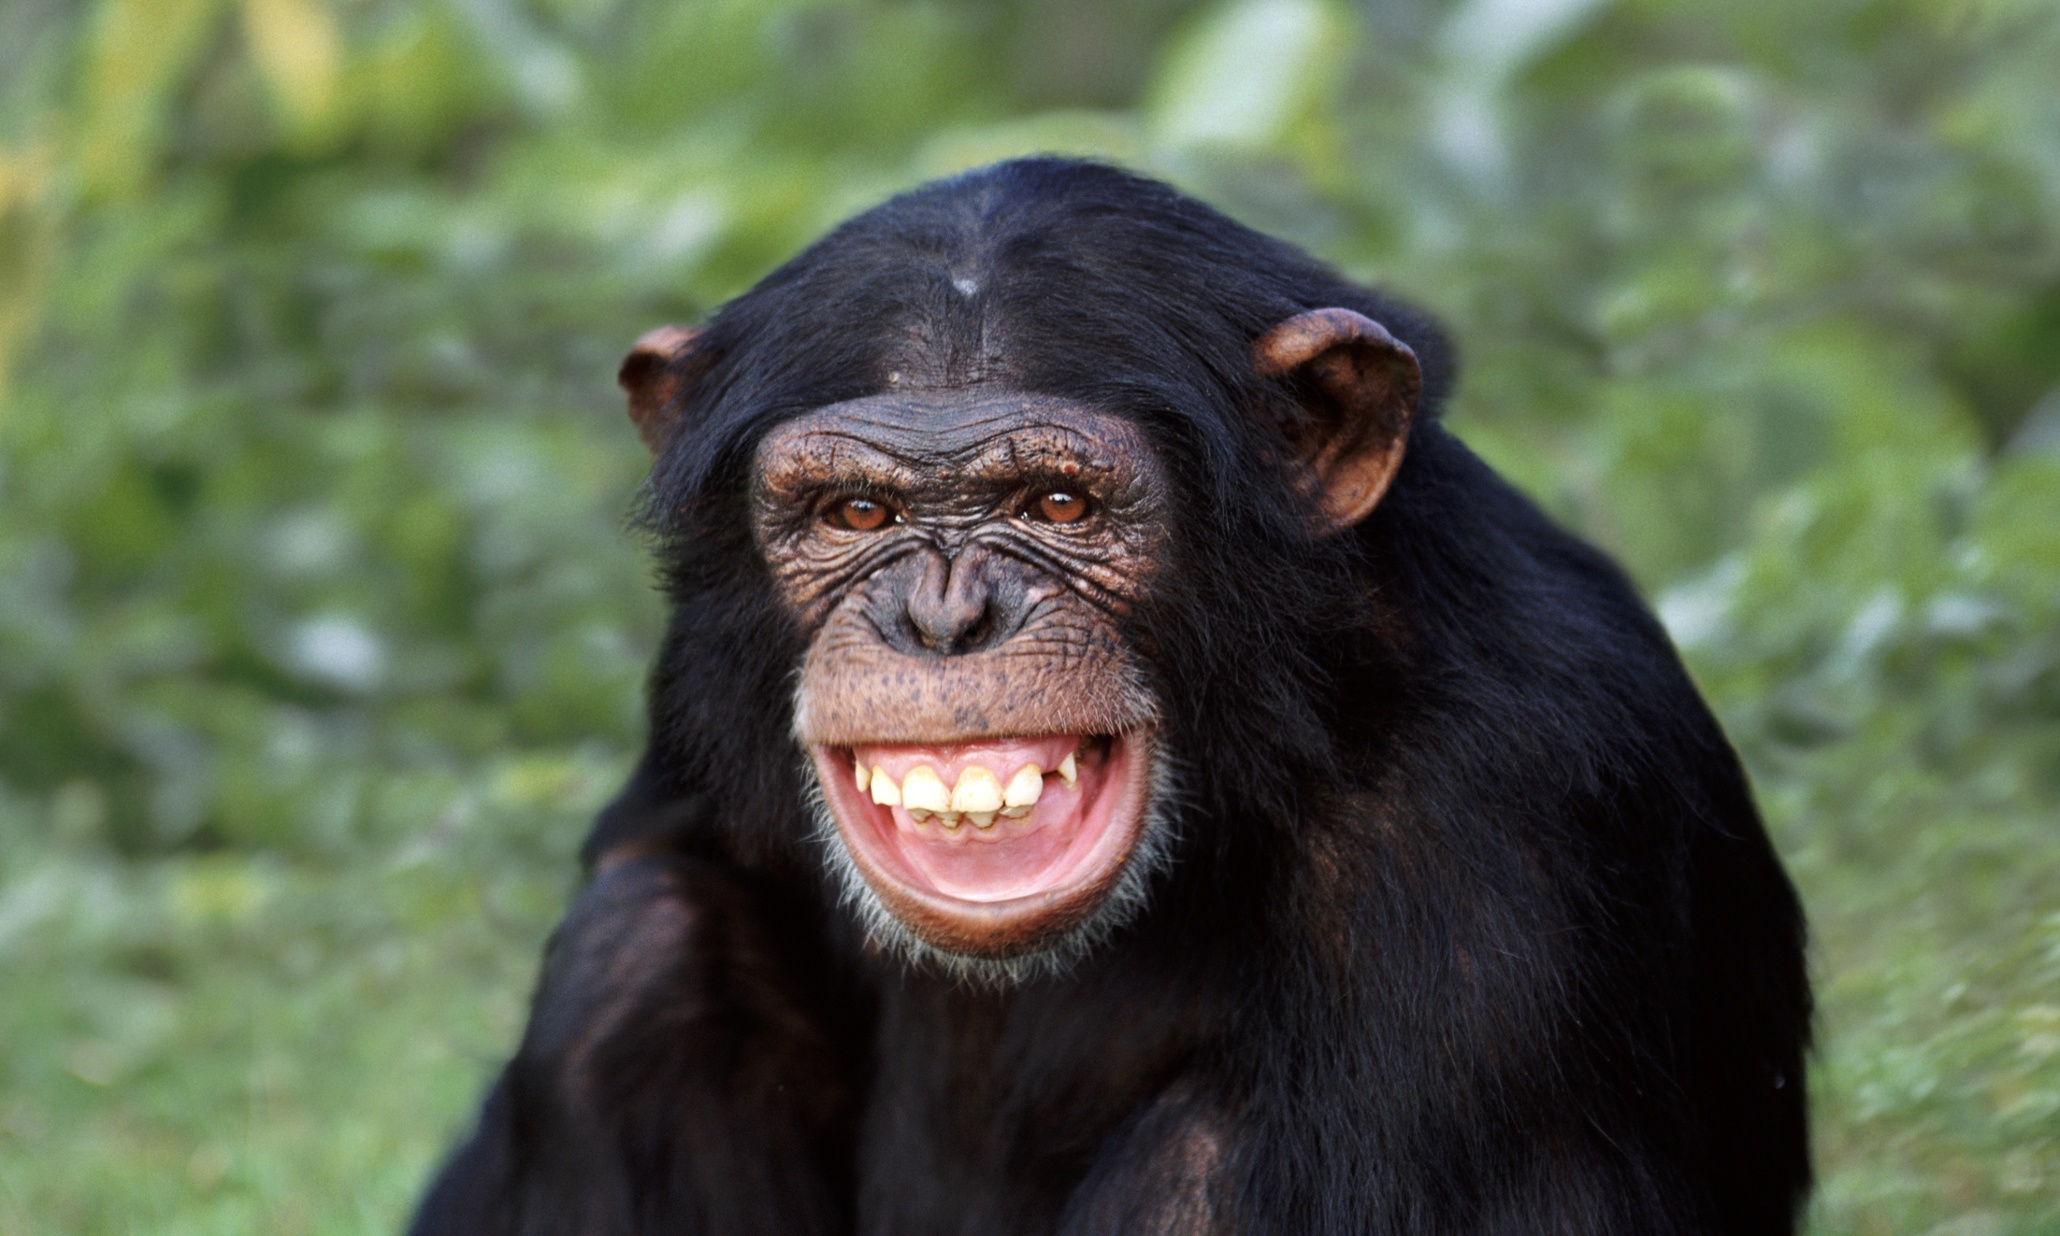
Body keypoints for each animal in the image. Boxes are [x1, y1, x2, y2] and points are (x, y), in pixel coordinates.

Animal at [409, 159, 1812, 1227]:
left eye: (1057, 505)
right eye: (855, 513)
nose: (943, 617)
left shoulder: (1506, 805)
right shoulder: (696, 695)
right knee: (634, 957)